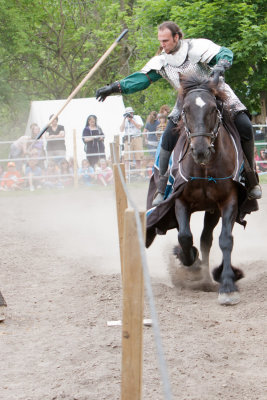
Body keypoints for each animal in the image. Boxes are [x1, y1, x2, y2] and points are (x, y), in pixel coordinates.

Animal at [147, 75, 251, 304]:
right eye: (185, 110)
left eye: (213, 108)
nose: (200, 150)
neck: (204, 168)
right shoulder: (180, 201)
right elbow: (185, 237)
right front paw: (190, 262)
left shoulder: (228, 201)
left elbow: (225, 240)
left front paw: (228, 286)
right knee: (191, 236)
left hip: (212, 210)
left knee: (206, 240)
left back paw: (207, 277)